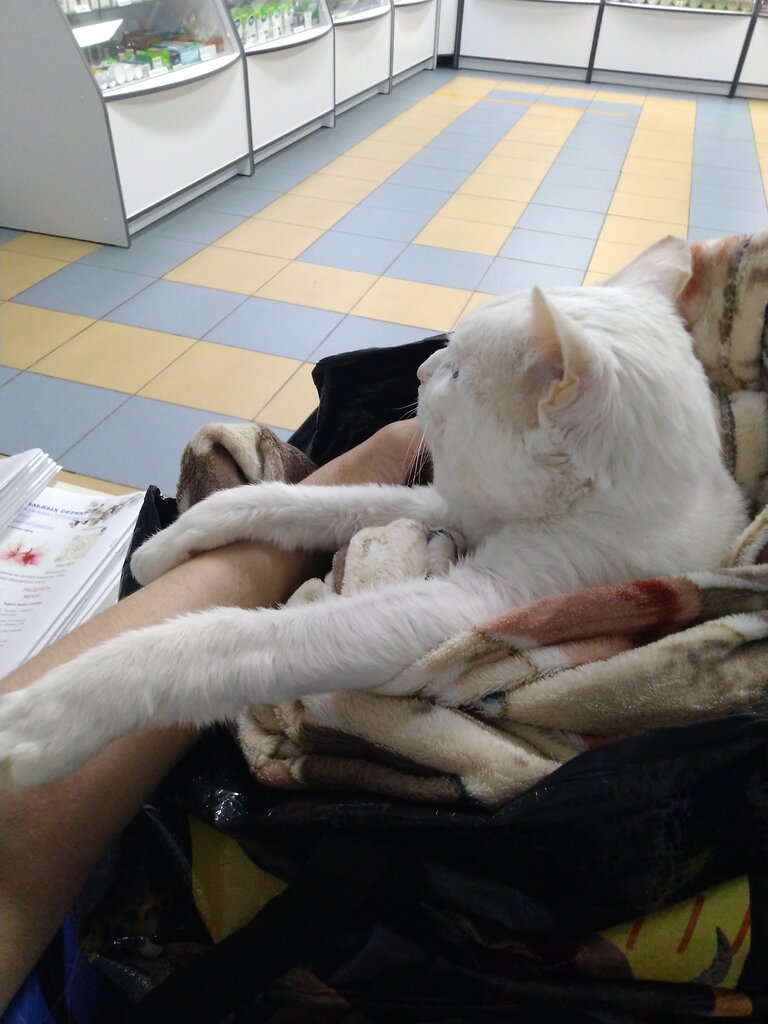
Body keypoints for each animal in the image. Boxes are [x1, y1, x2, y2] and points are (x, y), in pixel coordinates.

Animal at [0, 236, 748, 790]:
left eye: (456, 375)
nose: (420, 370)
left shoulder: (489, 603)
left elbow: (233, 639)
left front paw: (50, 716)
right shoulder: (440, 500)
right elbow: (291, 499)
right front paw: (170, 541)